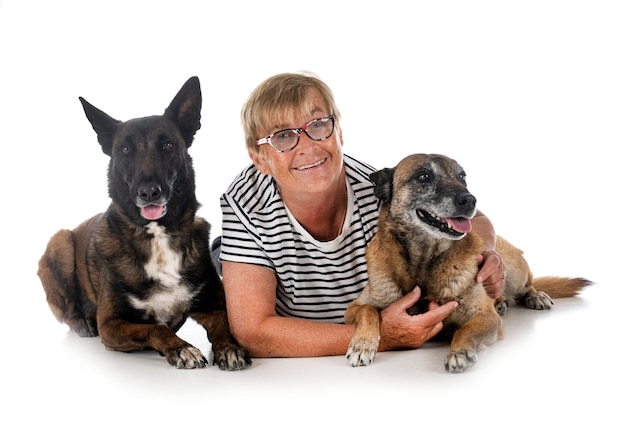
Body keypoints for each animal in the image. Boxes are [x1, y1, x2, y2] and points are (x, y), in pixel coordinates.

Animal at [37, 77, 249, 370]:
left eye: (168, 145)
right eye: (125, 149)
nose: (149, 192)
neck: (157, 235)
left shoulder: (214, 304)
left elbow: (223, 326)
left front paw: (229, 348)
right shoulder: (111, 325)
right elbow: (156, 328)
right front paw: (181, 349)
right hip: (60, 242)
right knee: (68, 311)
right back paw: (82, 322)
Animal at [344, 153, 592, 370]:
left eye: (462, 176)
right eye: (423, 176)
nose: (470, 200)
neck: (424, 262)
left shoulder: (485, 317)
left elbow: (465, 331)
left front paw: (459, 352)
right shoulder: (354, 309)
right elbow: (368, 310)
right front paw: (361, 345)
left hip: (514, 268)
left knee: (528, 284)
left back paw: (534, 296)